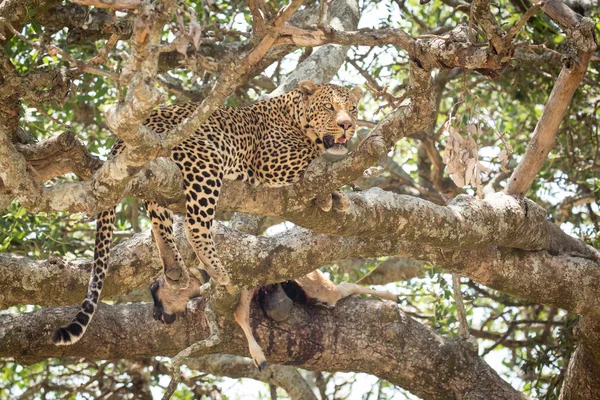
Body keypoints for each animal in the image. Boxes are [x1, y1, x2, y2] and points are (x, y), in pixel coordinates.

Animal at [52, 80, 360, 350]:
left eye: (353, 108)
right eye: (330, 107)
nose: (347, 125)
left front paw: (333, 194)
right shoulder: (272, 159)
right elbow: (314, 159)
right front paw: (334, 193)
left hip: (159, 179)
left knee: (159, 219)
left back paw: (175, 269)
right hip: (204, 160)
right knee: (194, 225)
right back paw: (216, 269)